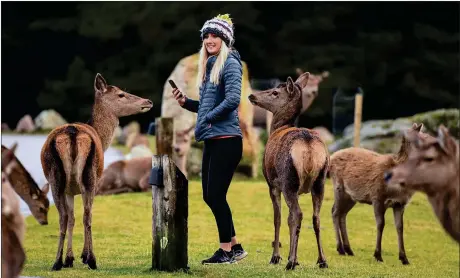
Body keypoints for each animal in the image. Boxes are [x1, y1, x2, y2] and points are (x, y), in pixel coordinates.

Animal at [39, 73, 153, 270]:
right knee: (88, 215)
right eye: (121, 94)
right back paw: (91, 259)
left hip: (56, 178)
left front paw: (69, 258)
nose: (148, 101)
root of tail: (72, 132)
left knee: (65, 217)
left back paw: (57, 262)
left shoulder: (70, 190)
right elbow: (80, 216)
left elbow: (72, 218)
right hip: (90, 176)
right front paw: (80, 256)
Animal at [248, 71, 330, 270]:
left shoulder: (272, 184)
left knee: (297, 214)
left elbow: (278, 218)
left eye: (275, 92)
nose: (252, 95)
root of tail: (308, 145)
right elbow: (288, 219)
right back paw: (322, 260)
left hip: (288, 179)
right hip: (321, 180)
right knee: (315, 217)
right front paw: (296, 258)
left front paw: (276, 257)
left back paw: (290, 261)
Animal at [328, 122, 428, 264]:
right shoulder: (377, 197)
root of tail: (331, 157)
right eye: (424, 137)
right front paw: (378, 255)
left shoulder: (400, 203)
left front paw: (404, 258)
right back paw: (340, 249)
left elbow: (400, 227)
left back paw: (349, 249)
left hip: (351, 196)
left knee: (342, 214)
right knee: (335, 212)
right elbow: (380, 224)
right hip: (339, 188)